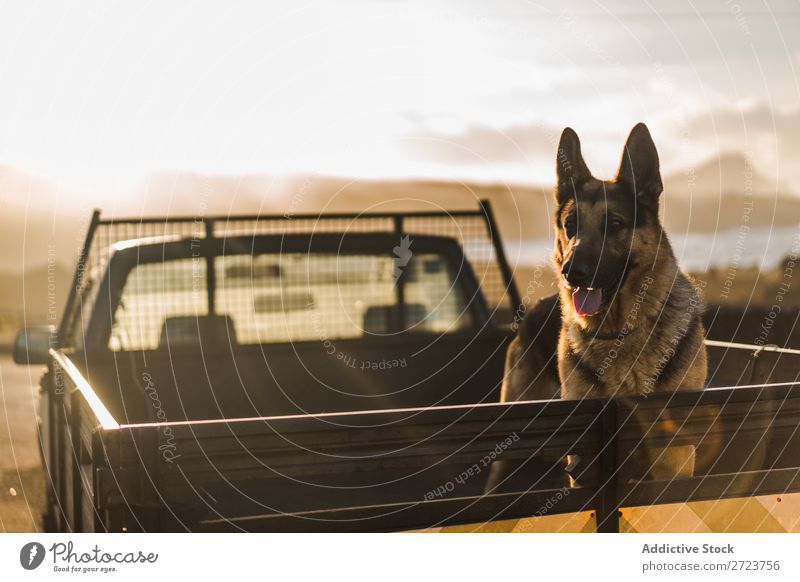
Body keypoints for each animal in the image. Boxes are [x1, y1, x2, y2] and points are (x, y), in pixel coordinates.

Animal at [496, 124, 708, 488]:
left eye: (616, 224)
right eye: (570, 226)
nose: (572, 272)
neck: (619, 334)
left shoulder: (673, 461)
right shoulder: (584, 462)